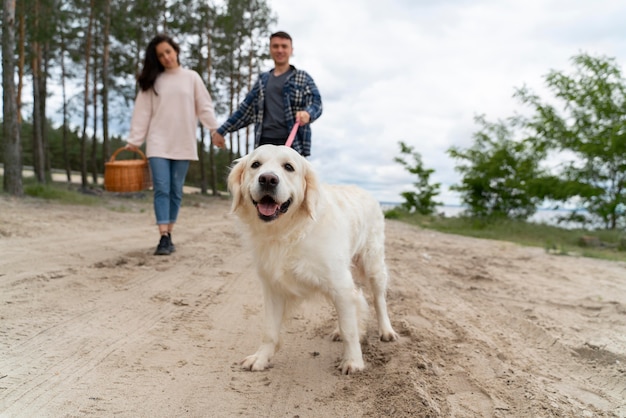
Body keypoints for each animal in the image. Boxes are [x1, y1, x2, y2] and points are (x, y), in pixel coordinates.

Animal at [227, 145, 398, 374]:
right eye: (255, 164)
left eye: (288, 167)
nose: (268, 179)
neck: (289, 232)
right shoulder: (273, 288)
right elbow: (269, 330)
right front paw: (261, 358)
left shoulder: (340, 284)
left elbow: (349, 329)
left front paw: (353, 361)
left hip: (373, 264)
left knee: (379, 300)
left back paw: (386, 330)